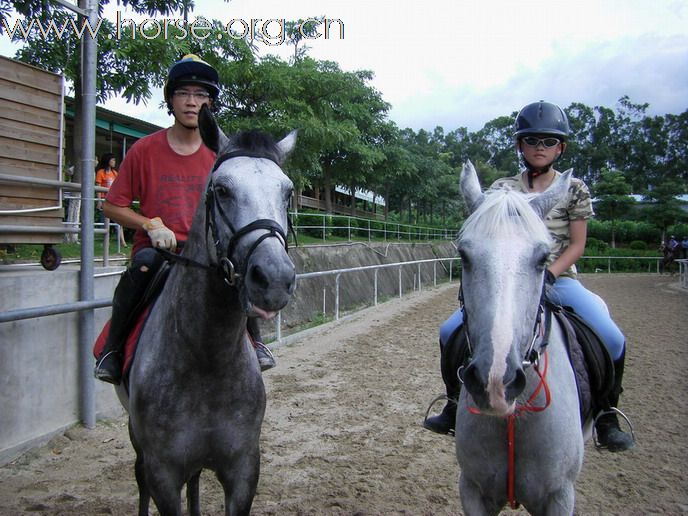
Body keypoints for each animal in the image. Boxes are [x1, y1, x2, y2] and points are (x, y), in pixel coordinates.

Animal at [115, 106, 296, 516]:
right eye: (222, 190)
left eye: (288, 192)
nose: (274, 279)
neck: (206, 357)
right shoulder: (163, 474)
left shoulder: (243, 470)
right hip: (138, 441)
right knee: (138, 477)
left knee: (196, 479)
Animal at [454, 162, 588, 516]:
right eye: (463, 256)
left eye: (543, 259)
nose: (495, 382)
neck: (513, 417)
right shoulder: (472, 490)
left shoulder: (559, 496)